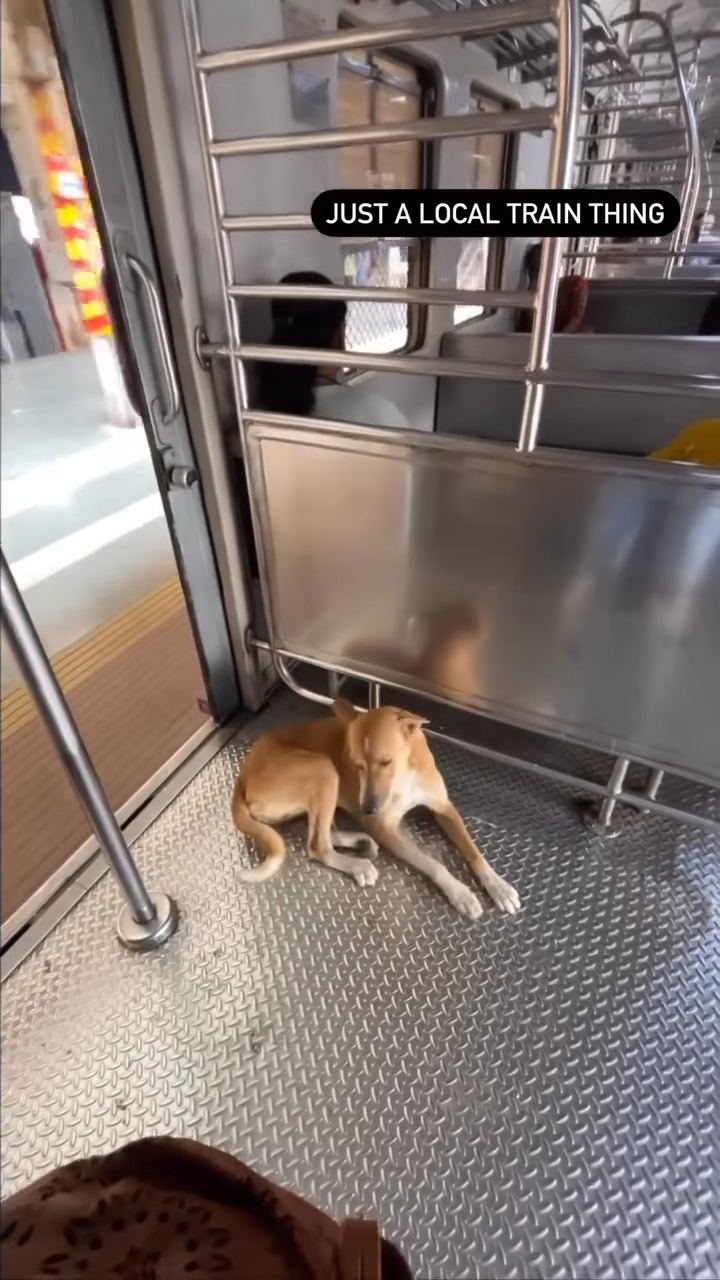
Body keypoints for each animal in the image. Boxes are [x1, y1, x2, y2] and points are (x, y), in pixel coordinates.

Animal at [233, 701, 517, 921]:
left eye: (386, 761)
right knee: (317, 845)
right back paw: (357, 864)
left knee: (323, 832)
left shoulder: (444, 807)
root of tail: (242, 779)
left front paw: (498, 886)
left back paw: (360, 841)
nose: (368, 809)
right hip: (324, 768)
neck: (403, 774)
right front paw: (460, 892)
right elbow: (434, 864)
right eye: (356, 764)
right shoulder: (387, 829)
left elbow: (473, 851)